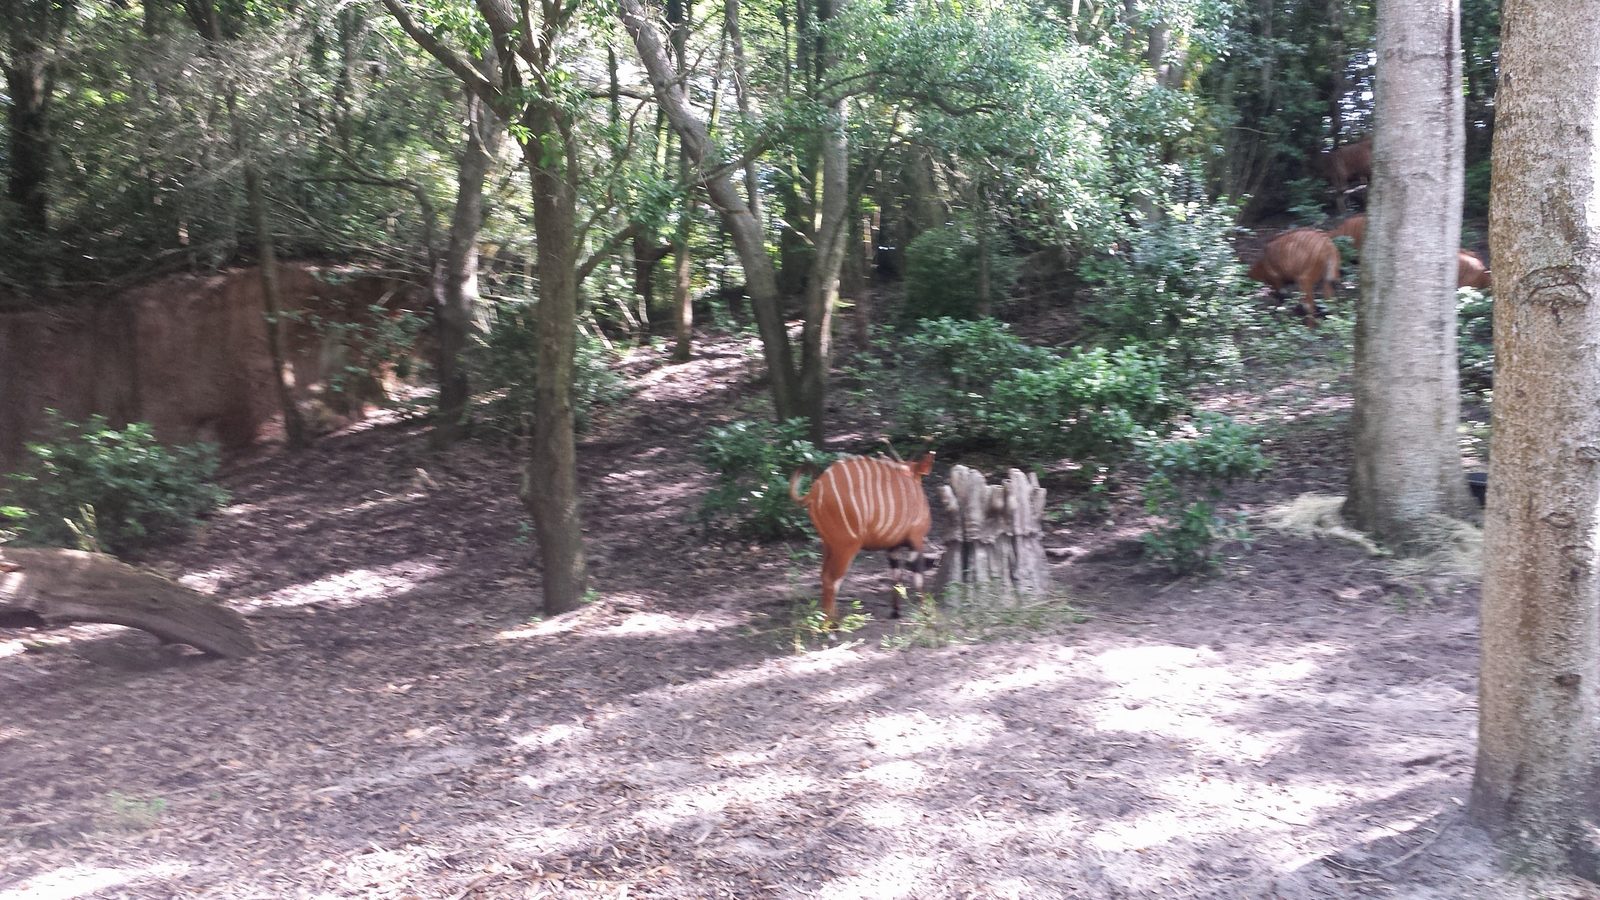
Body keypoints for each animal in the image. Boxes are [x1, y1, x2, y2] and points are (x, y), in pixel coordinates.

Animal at [790, 452, 936, 621]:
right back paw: (832, 625)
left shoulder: (893, 546)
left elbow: (896, 575)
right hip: (847, 545)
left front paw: (896, 612)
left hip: (828, 544)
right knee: (832, 580)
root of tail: (814, 491)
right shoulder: (916, 539)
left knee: (824, 576)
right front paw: (924, 613)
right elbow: (918, 576)